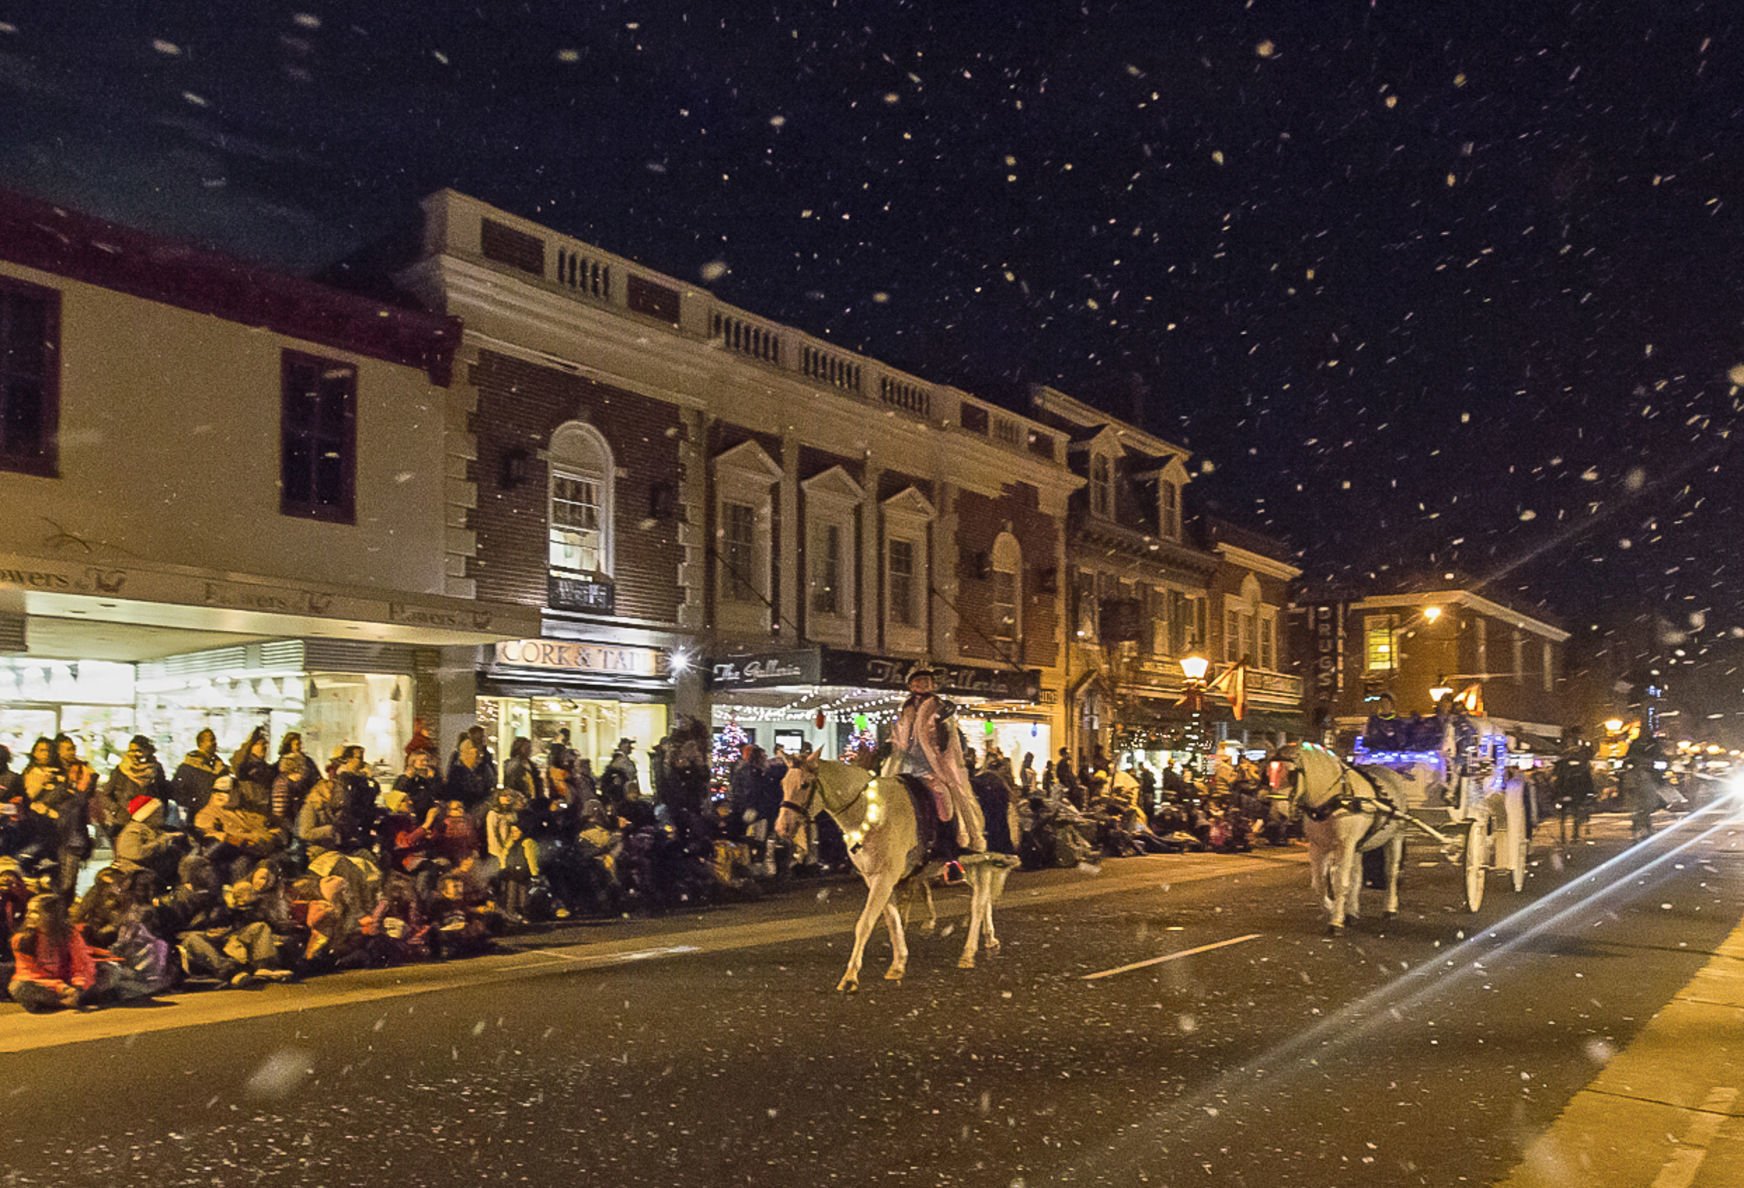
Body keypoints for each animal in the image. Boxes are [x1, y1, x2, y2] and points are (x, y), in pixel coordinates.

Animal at [781, 753, 1018, 983]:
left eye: (804, 784)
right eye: (783, 783)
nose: (782, 827)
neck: (871, 810)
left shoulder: (885, 877)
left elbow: (865, 923)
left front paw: (850, 977)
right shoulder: (876, 878)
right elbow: (893, 919)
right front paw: (898, 964)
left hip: (981, 861)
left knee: (978, 902)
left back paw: (968, 953)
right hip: (969, 866)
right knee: (984, 898)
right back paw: (990, 938)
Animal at [1283, 746, 1430, 928]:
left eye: (1291, 774)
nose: (1279, 809)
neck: (1336, 800)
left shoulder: (1346, 844)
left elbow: (1340, 881)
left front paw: (1336, 921)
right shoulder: (1319, 846)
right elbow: (1320, 883)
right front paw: (1332, 908)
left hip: (1395, 837)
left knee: (1391, 873)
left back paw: (1390, 908)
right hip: (1359, 846)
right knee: (1357, 876)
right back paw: (1352, 911)